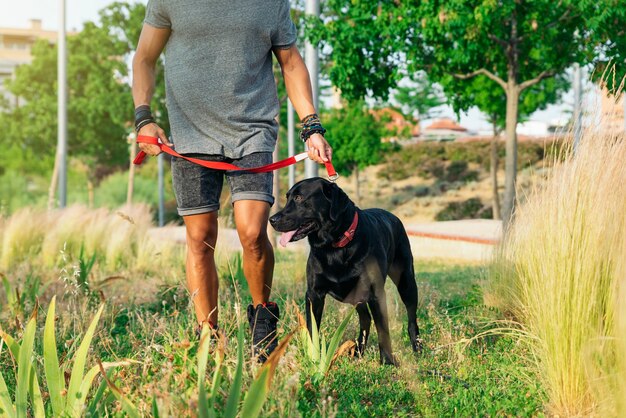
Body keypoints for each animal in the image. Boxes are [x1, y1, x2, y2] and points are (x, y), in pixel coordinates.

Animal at [266, 178, 420, 364]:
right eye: (287, 197)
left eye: (298, 197)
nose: (272, 219)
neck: (335, 247)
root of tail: (393, 215)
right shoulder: (314, 294)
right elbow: (312, 328)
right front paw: (313, 358)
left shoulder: (375, 293)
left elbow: (383, 329)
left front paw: (387, 361)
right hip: (356, 296)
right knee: (365, 318)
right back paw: (359, 351)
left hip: (406, 282)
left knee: (411, 318)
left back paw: (418, 348)